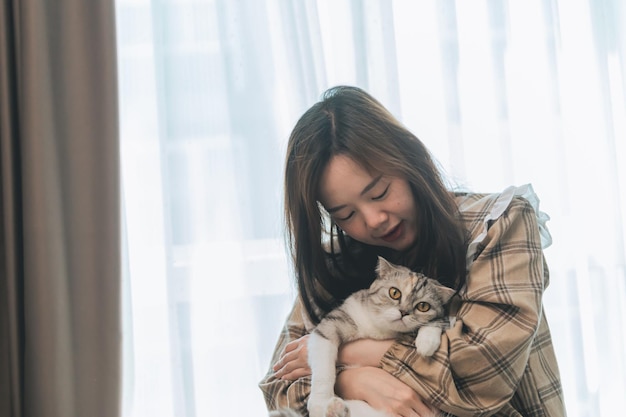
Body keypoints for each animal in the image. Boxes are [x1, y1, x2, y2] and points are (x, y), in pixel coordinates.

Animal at [268, 255, 454, 416]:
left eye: (423, 306)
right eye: (395, 292)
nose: (404, 312)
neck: (381, 330)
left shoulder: (443, 319)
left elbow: (439, 320)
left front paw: (426, 344)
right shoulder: (330, 326)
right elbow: (323, 370)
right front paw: (320, 403)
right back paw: (333, 409)